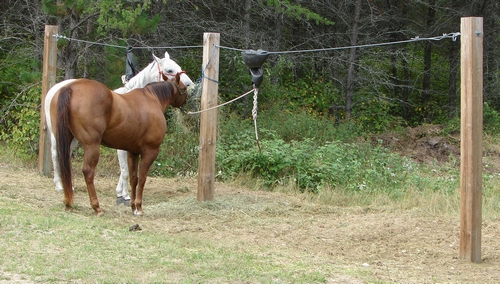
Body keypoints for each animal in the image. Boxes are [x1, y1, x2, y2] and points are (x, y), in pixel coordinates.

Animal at [45, 51, 193, 205]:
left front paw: (120, 192)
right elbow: (125, 171)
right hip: (59, 136)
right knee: (56, 154)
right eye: (169, 70)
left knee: (65, 155)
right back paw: (59, 185)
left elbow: (125, 170)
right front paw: (126, 195)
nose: (190, 85)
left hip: (73, 138)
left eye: (179, 66)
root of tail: (58, 88)